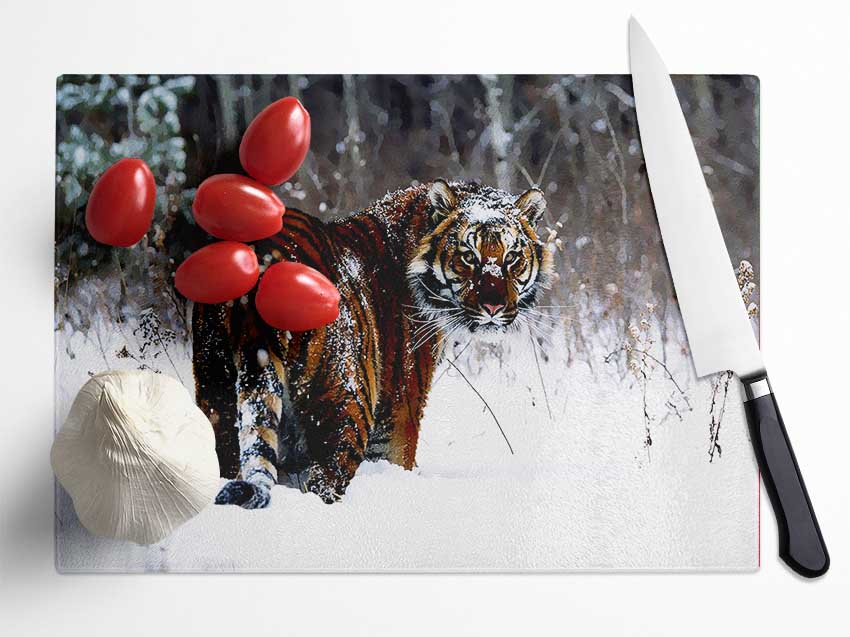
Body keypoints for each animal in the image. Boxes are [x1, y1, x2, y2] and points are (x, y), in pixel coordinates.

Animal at [191, 179, 553, 507]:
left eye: (512, 257)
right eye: (468, 256)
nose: (493, 307)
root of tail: (264, 259)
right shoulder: (399, 412)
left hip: (216, 390)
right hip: (346, 404)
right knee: (324, 481)